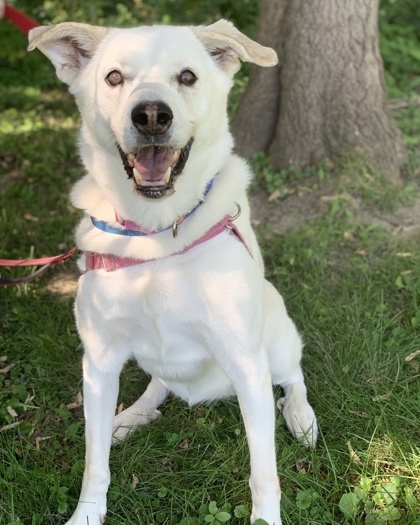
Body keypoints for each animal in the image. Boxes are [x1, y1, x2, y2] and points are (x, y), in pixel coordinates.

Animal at [27, 19, 316, 524]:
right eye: (114, 77)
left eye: (187, 77)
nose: (150, 116)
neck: (156, 234)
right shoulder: (98, 363)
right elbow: (94, 465)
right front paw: (87, 513)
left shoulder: (246, 363)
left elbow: (264, 473)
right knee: (160, 384)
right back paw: (133, 414)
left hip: (275, 342)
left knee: (293, 375)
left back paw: (301, 415)